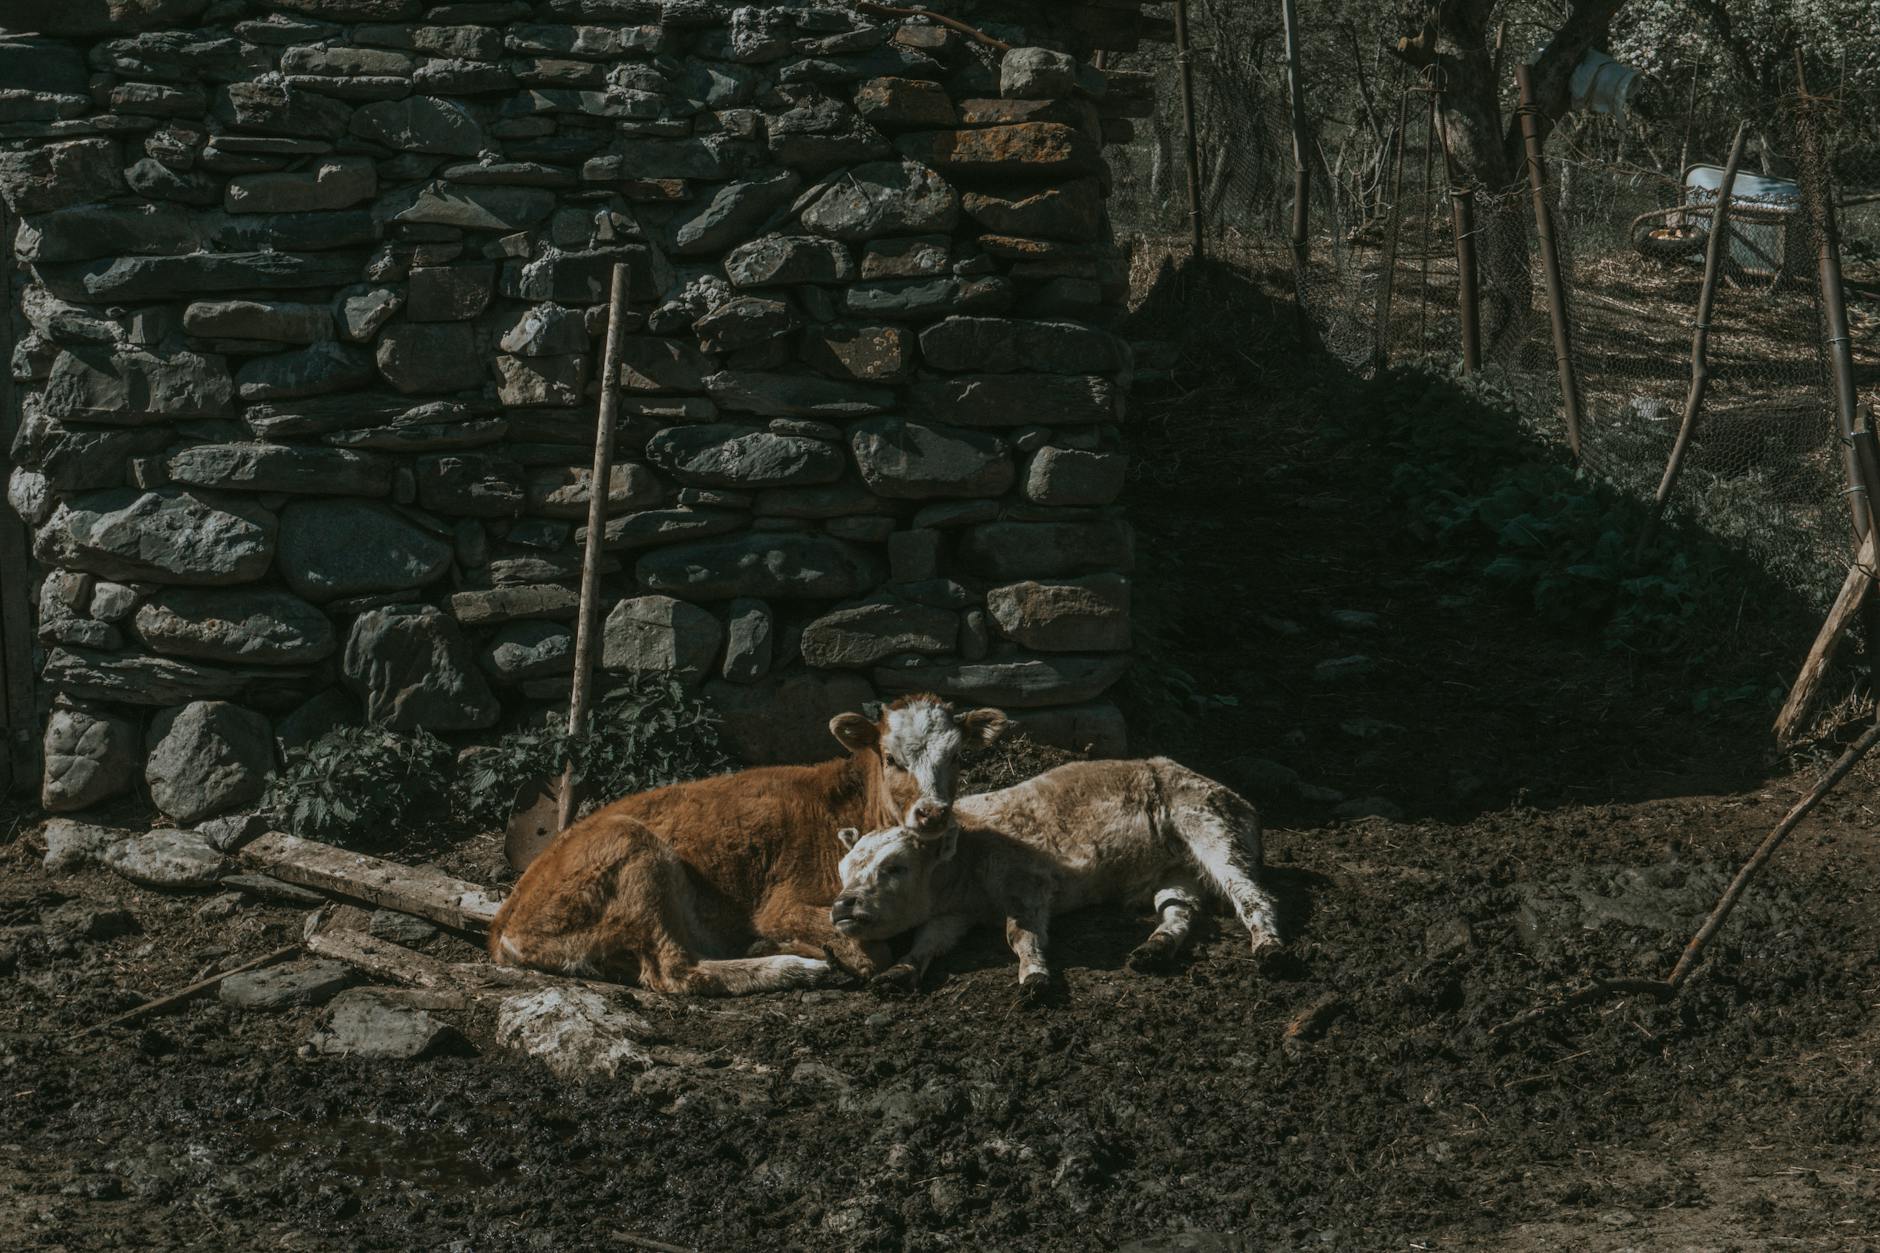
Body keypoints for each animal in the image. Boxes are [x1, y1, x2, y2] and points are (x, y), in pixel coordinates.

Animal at [487, 694, 1009, 995]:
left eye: (957, 756)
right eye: (891, 758)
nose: (932, 813)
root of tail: (505, 921)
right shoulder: (782, 904)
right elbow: (870, 954)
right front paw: (825, 951)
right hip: (635, 853)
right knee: (676, 972)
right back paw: (794, 966)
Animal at [828, 757, 1281, 997]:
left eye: (895, 867)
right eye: (844, 870)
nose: (841, 905)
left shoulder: (1028, 884)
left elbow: (1020, 934)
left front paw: (1035, 977)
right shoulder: (951, 915)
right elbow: (926, 944)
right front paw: (896, 973)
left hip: (1209, 826)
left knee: (1250, 893)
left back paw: (1270, 949)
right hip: (1177, 871)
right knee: (1179, 909)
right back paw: (1151, 950)